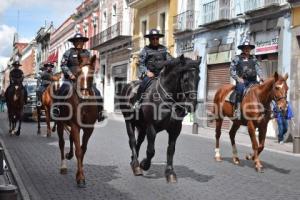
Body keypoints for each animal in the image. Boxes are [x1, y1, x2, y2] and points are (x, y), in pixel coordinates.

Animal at [55, 54, 98, 188]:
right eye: (78, 73)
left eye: (92, 72)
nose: (84, 94)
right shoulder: (74, 125)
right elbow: (79, 150)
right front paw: (80, 178)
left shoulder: (89, 128)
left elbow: (83, 149)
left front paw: (80, 173)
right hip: (60, 124)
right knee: (62, 143)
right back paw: (63, 166)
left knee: (71, 140)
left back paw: (69, 155)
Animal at [120, 55, 202, 183]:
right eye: (185, 79)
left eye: (199, 78)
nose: (192, 105)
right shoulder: (151, 127)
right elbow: (151, 150)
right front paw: (144, 164)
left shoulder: (175, 129)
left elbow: (171, 150)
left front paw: (170, 172)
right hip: (129, 121)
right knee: (132, 141)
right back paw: (136, 165)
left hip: (142, 127)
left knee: (139, 141)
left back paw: (134, 160)